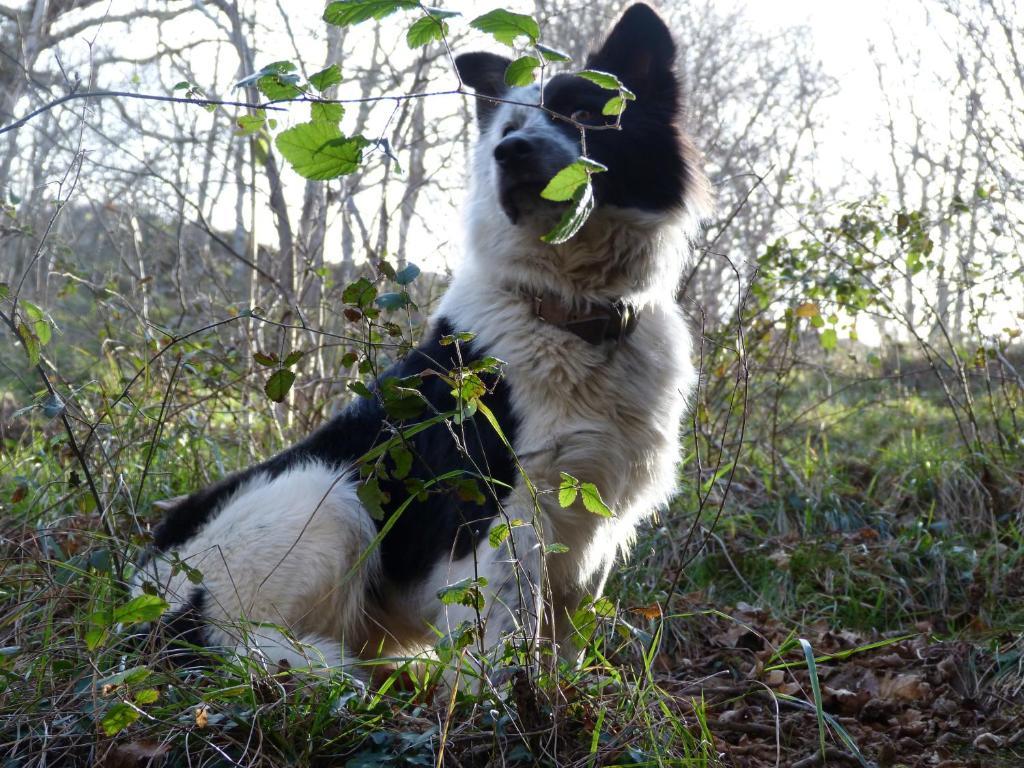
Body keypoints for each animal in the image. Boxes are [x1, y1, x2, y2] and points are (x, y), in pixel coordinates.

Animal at [136, 4, 708, 679]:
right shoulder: (499, 504)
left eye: (585, 115)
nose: (510, 153)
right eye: (509, 127)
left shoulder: (598, 507)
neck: (570, 312)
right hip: (329, 492)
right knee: (238, 638)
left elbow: (565, 629)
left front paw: (561, 692)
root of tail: (154, 602)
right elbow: (505, 625)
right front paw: (502, 701)